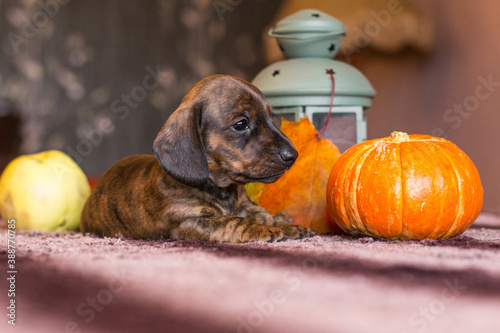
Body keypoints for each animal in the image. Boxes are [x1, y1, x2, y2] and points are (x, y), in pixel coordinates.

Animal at [82, 74, 316, 241]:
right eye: (241, 124)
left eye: (271, 117)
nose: (293, 155)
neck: (220, 187)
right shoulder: (191, 222)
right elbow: (233, 221)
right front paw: (263, 230)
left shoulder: (246, 206)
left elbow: (265, 215)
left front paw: (285, 225)